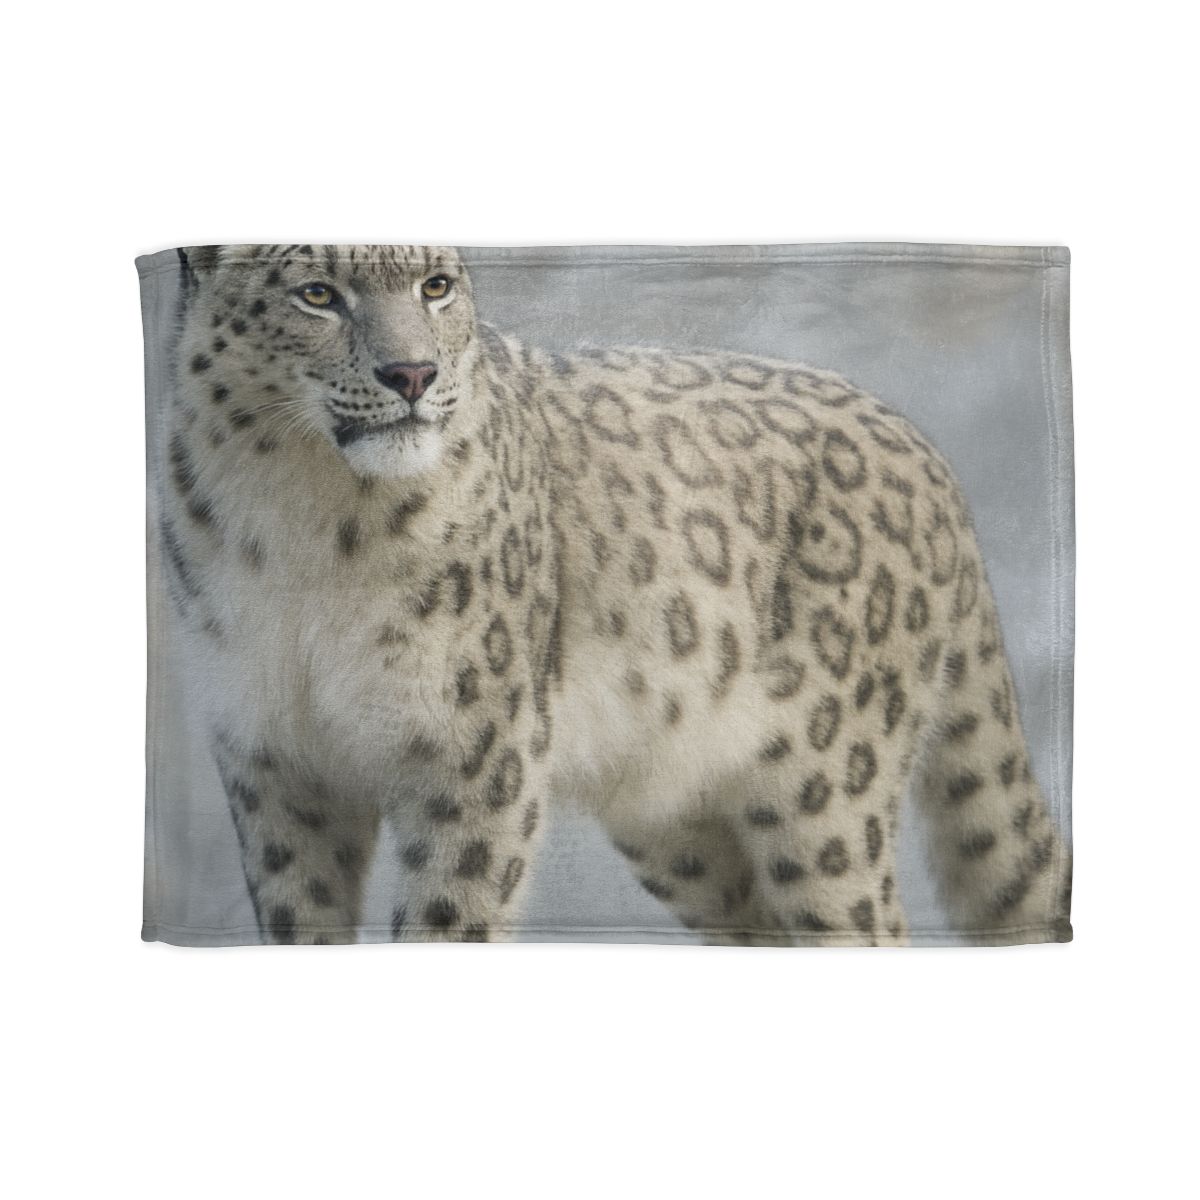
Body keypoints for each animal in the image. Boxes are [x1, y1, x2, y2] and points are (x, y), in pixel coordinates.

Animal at [156, 242, 1070, 946]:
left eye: (436, 285)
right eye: (316, 293)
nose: (412, 373)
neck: (303, 525)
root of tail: (923, 447)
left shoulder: (473, 749)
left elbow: (450, 915)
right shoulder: (274, 759)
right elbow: (301, 920)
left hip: (828, 793)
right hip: (680, 825)